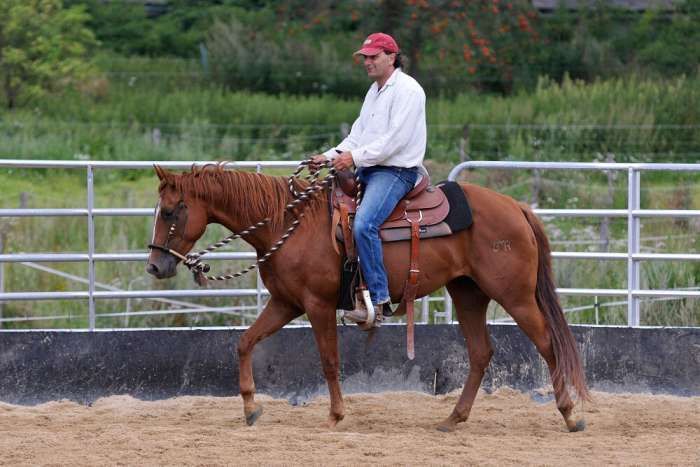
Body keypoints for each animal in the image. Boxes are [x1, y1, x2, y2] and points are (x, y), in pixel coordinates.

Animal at [148, 165, 592, 436]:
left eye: (170, 211)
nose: (155, 266)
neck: (286, 224)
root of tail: (516, 207)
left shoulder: (317, 305)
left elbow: (329, 361)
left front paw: (335, 415)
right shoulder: (285, 303)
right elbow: (244, 342)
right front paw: (250, 408)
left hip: (514, 295)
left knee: (549, 345)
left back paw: (570, 414)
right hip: (468, 293)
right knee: (481, 352)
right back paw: (453, 418)